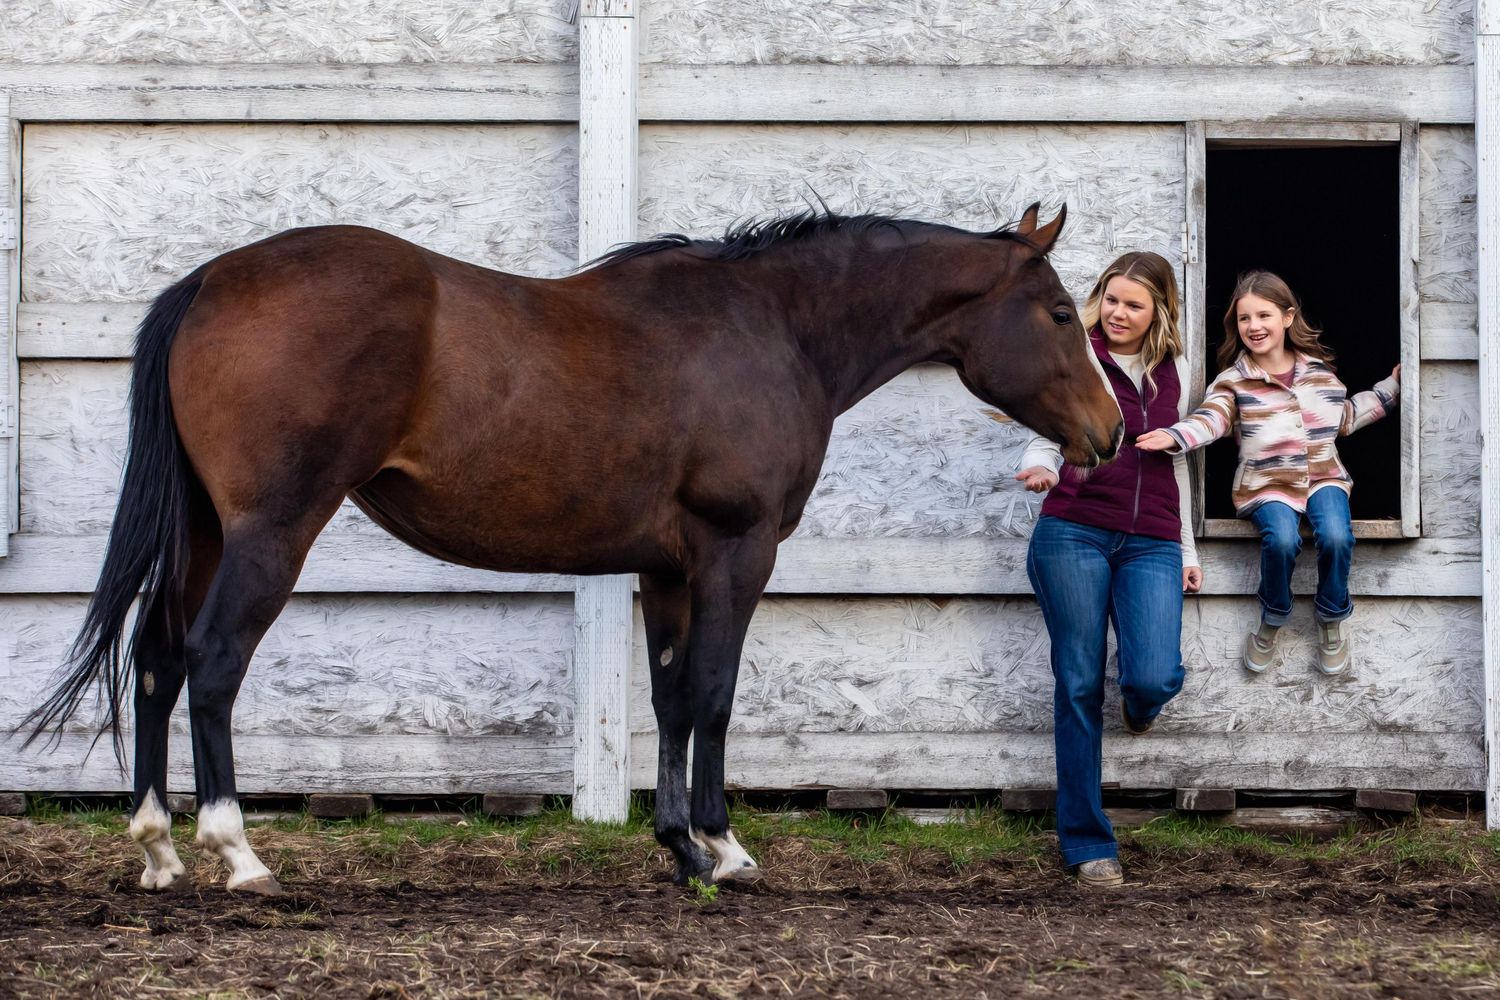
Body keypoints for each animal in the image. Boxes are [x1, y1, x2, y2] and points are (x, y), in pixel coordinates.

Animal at [25, 202, 1122, 895]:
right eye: (1059, 312)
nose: (1109, 432)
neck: (773, 327)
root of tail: (214, 279)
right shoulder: (736, 552)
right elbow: (715, 693)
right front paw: (727, 847)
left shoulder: (666, 567)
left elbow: (672, 699)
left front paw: (681, 850)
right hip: (270, 530)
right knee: (211, 664)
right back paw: (237, 852)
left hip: (205, 533)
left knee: (156, 660)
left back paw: (159, 849)